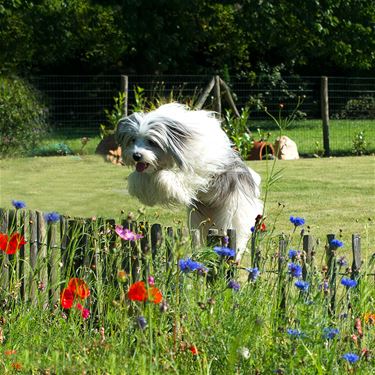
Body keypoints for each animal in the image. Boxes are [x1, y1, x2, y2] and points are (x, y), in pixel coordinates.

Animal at [116, 103, 262, 262]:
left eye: (151, 141)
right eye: (133, 139)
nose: (136, 156)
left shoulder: (195, 173)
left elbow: (168, 177)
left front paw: (160, 179)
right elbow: (141, 178)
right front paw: (141, 183)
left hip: (233, 214)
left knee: (236, 236)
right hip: (197, 218)